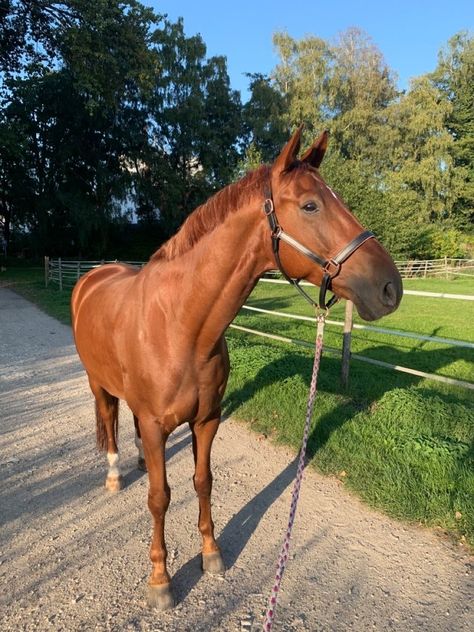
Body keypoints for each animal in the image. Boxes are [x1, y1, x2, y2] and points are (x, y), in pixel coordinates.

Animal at [72, 127, 402, 608]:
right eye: (310, 205)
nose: (390, 287)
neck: (181, 326)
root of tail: (91, 277)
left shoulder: (207, 420)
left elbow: (203, 481)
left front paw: (211, 554)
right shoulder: (156, 424)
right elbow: (160, 497)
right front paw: (160, 579)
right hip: (98, 384)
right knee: (110, 419)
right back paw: (116, 474)